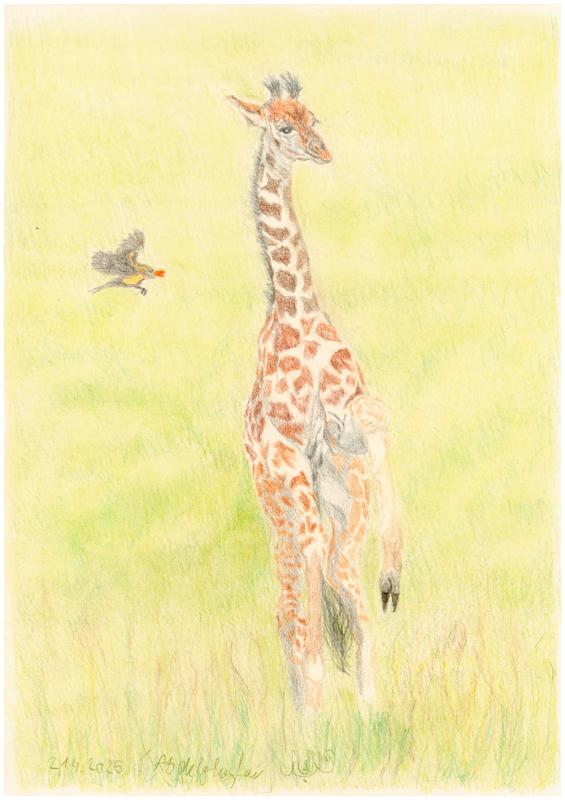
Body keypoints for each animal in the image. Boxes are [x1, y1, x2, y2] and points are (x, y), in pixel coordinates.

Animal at [229, 73, 403, 711]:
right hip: (278, 500)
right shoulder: (289, 450)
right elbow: (304, 595)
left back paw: (365, 705)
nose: (322, 152)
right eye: (282, 127)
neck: (297, 311)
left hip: (336, 505)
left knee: (339, 578)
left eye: (313, 119)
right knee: (291, 598)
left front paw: (394, 570)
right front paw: (319, 697)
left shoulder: (344, 425)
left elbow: (378, 417)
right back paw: (310, 711)